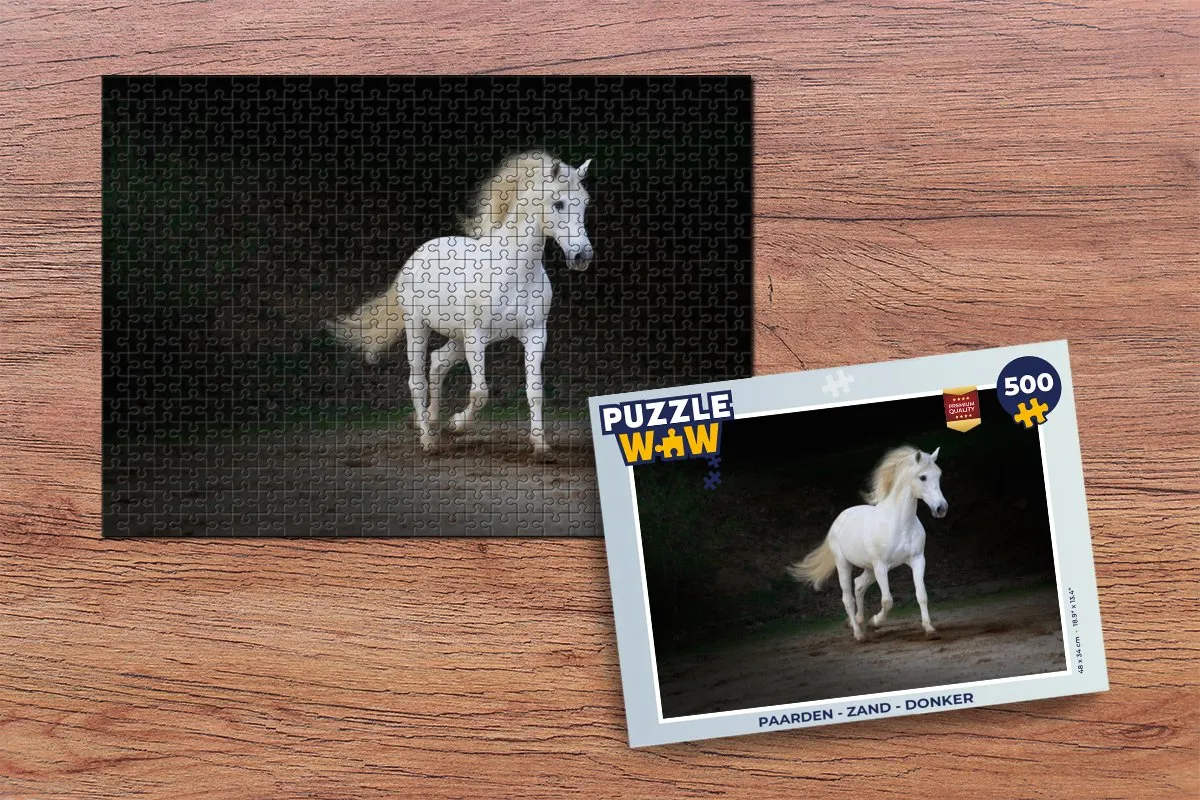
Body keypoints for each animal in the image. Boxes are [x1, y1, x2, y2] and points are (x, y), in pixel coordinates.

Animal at [328, 151, 594, 460]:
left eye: (585, 202)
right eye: (558, 203)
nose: (582, 256)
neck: (514, 271)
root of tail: (417, 255)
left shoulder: (535, 335)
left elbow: (535, 390)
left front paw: (541, 447)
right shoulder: (476, 337)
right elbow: (480, 392)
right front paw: (456, 425)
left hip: (457, 338)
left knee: (437, 362)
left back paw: (432, 421)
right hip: (419, 328)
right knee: (416, 379)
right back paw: (428, 440)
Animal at [788, 446, 948, 643]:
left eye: (939, 475)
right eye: (923, 477)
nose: (941, 508)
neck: (899, 523)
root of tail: (839, 519)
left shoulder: (917, 560)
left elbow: (922, 595)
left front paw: (930, 629)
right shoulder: (881, 566)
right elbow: (887, 600)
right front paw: (875, 622)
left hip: (870, 569)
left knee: (858, 585)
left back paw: (859, 621)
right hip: (845, 564)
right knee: (847, 598)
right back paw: (859, 633)